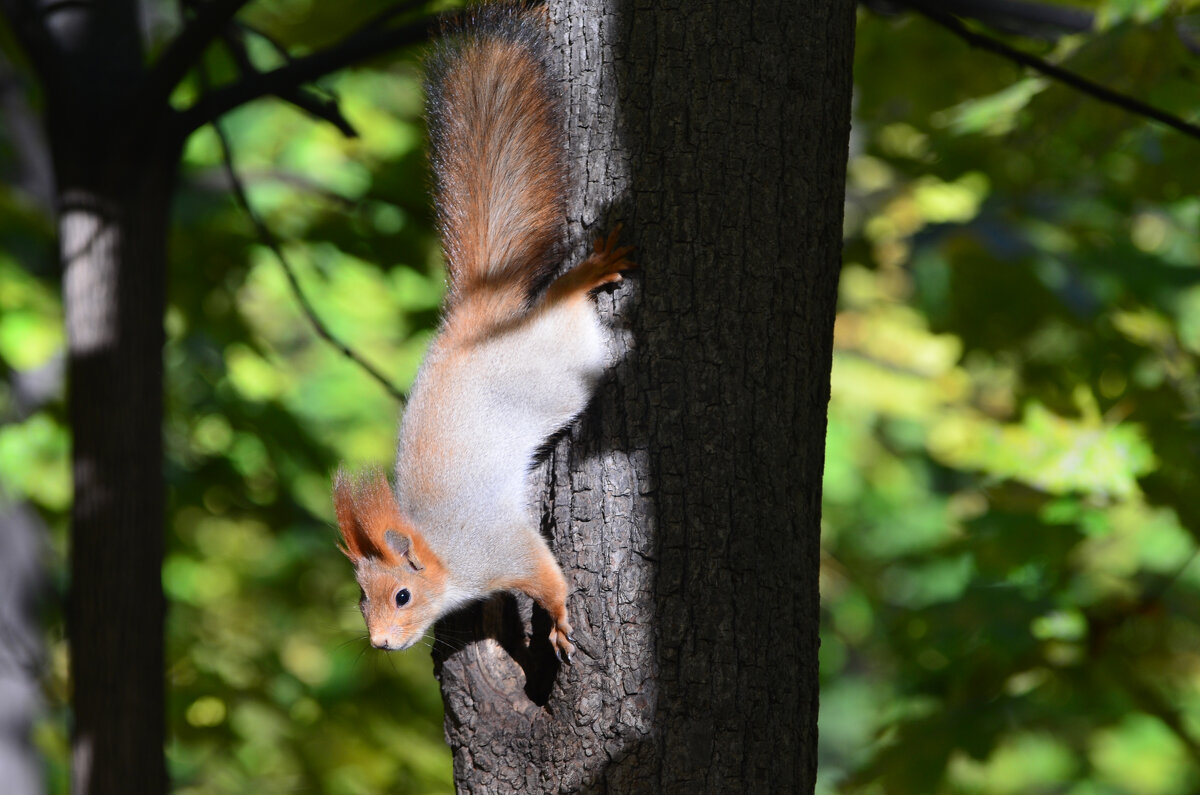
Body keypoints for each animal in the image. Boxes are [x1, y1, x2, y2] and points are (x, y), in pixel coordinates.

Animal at [328, 4, 628, 667]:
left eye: (403, 596)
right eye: (361, 601)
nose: (381, 643)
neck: (445, 553)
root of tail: (479, 324)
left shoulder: (502, 547)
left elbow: (546, 575)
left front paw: (559, 620)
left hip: (564, 368)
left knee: (565, 305)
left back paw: (589, 272)